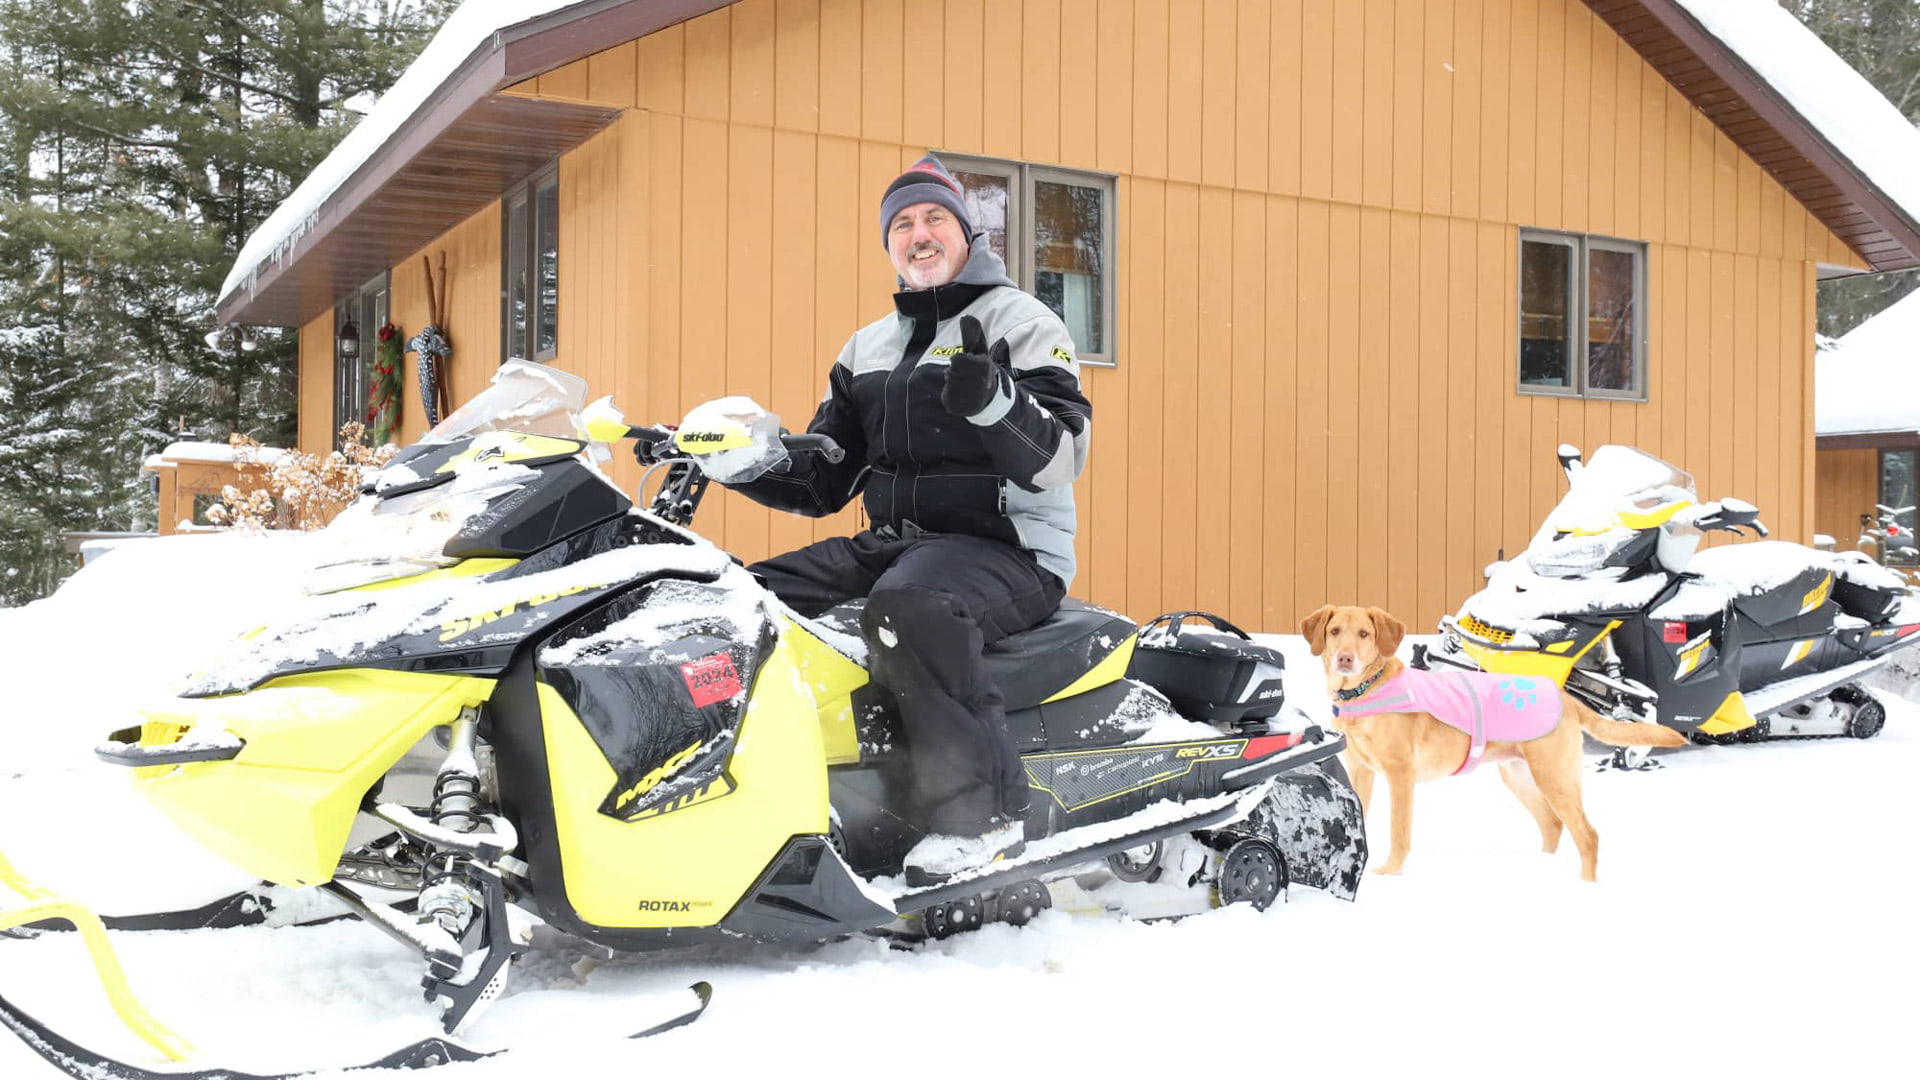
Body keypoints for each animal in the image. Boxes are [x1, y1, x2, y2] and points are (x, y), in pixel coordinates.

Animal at [1305, 599, 1681, 880]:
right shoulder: (1360, 771)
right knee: (1553, 824)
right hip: (1519, 775)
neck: (1365, 689)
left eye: (1364, 634)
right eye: (1335, 631)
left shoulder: (1401, 775)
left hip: (1553, 776)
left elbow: (1399, 832)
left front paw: (1389, 873)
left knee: (1587, 835)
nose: (1345, 659)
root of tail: (1565, 697)